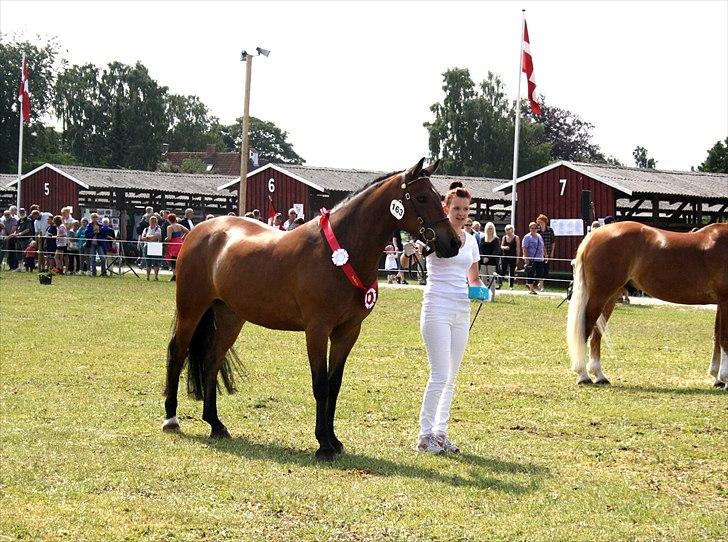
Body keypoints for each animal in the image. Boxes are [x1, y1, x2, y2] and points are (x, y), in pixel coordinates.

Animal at [164, 159, 460, 462]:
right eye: (422, 197)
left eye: (439, 197)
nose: (454, 243)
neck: (340, 252)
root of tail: (200, 231)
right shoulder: (317, 329)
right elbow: (320, 384)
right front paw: (323, 445)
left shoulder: (347, 331)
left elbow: (334, 385)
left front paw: (334, 440)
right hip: (191, 309)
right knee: (177, 352)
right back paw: (171, 419)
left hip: (229, 316)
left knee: (211, 361)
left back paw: (215, 423)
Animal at [568, 223, 728, 388]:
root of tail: (594, 235)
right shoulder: (725, 301)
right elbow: (724, 339)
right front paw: (724, 378)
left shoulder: (720, 303)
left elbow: (717, 337)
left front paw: (717, 379)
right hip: (599, 296)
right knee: (585, 329)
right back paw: (583, 376)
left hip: (610, 297)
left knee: (596, 334)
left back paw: (600, 376)